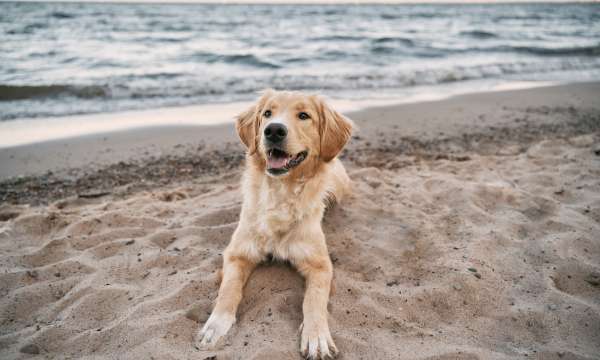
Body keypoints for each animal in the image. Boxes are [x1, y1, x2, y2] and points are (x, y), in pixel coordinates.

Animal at [197, 88, 354, 358]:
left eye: (304, 115)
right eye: (267, 114)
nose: (273, 131)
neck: (281, 193)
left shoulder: (321, 265)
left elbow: (314, 299)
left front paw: (316, 336)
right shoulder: (237, 253)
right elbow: (228, 289)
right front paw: (216, 325)